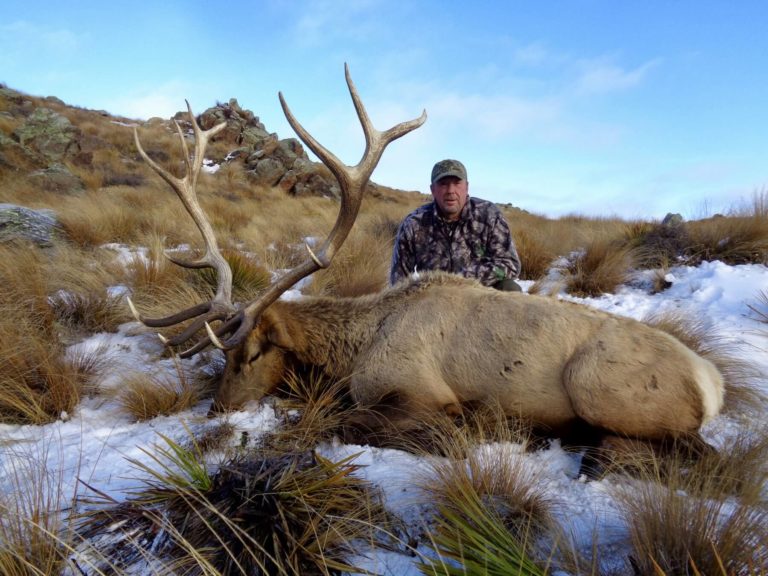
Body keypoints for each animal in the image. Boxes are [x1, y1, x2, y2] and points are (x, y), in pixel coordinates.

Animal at [128, 65, 725, 475]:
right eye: (221, 357)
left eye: (251, 354)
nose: (216, 410)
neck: (356, 349)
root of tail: (712, 382)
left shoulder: (418, 392)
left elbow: (341, 421)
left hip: (597, 386)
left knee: (699, 451)